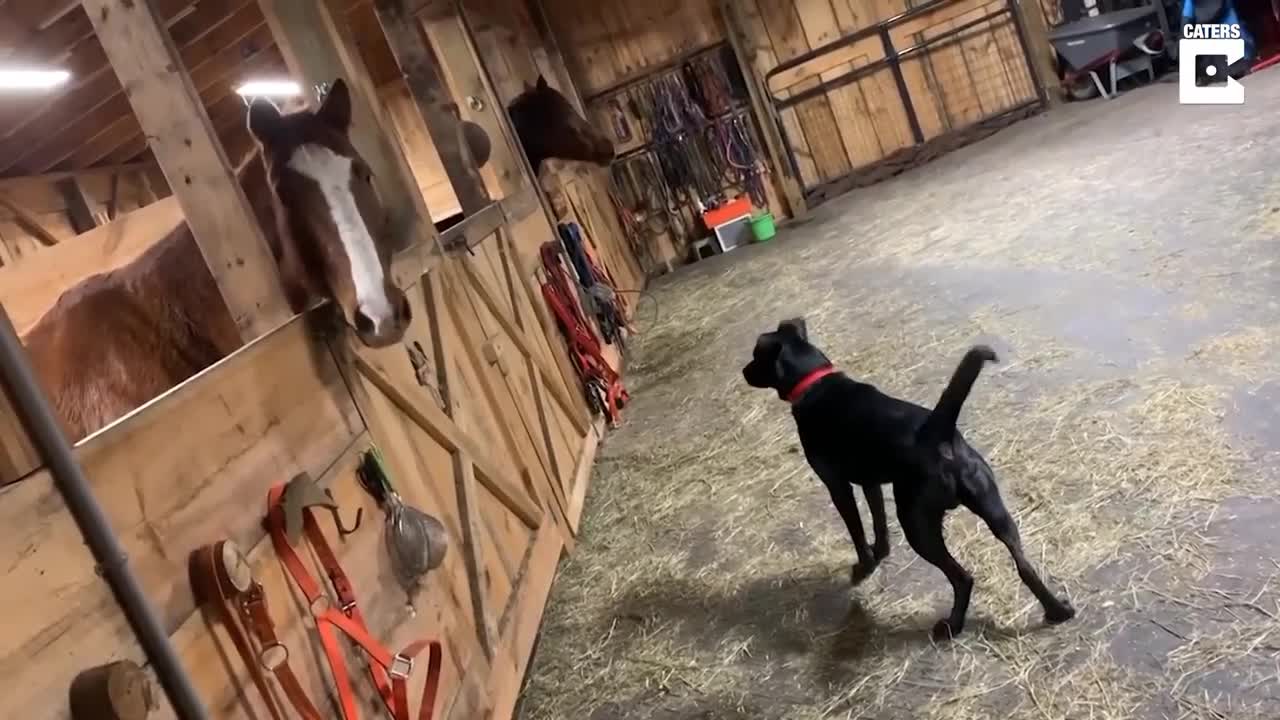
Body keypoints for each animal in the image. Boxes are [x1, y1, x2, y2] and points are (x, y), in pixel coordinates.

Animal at [747, 316, 1075, 635]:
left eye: (755, 356)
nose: (743, 371)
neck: (814, 382)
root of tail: (938, 432)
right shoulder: (871, 482)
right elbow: (878, 523)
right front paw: (880, 553)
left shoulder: (837, 485)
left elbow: (857, 532)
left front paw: (863, 568)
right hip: (995, 511)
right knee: (1024, 566)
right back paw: (1058, 611)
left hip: (916, 523)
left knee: (962, 577)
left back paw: (952, 626)